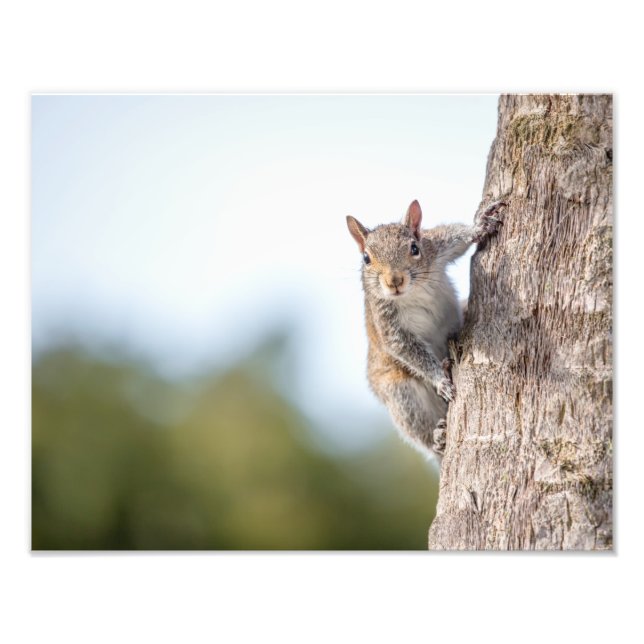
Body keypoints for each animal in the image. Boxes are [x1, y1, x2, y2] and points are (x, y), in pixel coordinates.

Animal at [346, 199, 506, 461]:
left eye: (414, 248)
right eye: (366, 258)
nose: (394, 281)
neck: (413, 291)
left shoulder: (436, 248)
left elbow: (458, 237)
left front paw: (480, 224)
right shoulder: (386, 321)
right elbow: (407, 349)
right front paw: (440, 380)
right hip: (402, 397)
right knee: (422, 434)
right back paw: (438, 439)